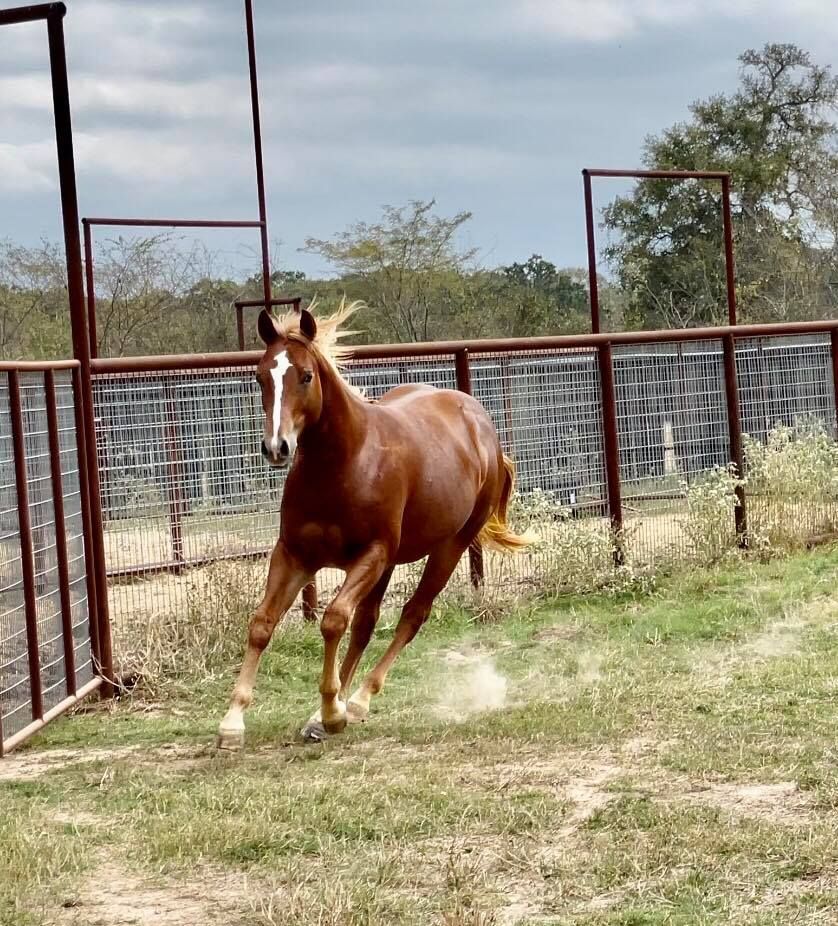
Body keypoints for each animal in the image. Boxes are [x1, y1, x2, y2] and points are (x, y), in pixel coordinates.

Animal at [217, 300, 531, 748]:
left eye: (306, 375)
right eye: (261, 375)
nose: (276, 448)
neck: (345, 463)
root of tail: (481, 424)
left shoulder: (371, 555)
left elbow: (333, 620)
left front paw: (333, 711)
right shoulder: (294, 554)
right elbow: (262, 624)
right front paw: (233, 722)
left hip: (448, 548)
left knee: (412, 616)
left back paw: (357, 702)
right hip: (390, 564)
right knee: (366, 624)